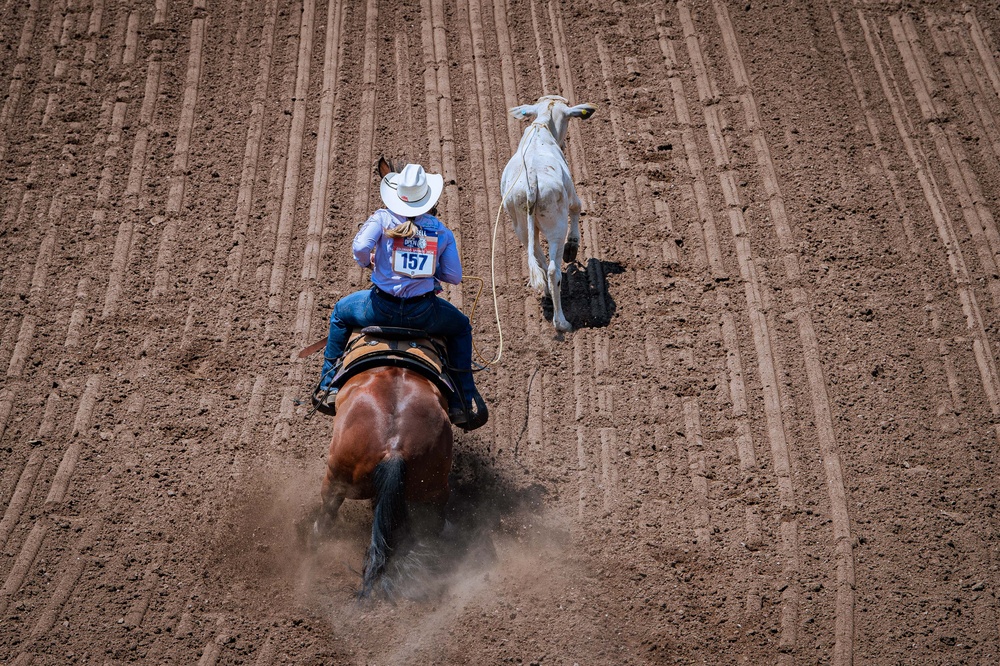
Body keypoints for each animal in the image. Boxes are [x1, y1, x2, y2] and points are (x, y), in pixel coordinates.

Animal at [500, 93, 592, 332]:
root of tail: (532, 182)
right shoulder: (571, 193)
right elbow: (577, 206)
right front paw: (573, 246)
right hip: (556, 228)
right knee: (552, 270)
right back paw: (562, 322)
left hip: (522, 228)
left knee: (538, 260)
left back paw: (549, 293)